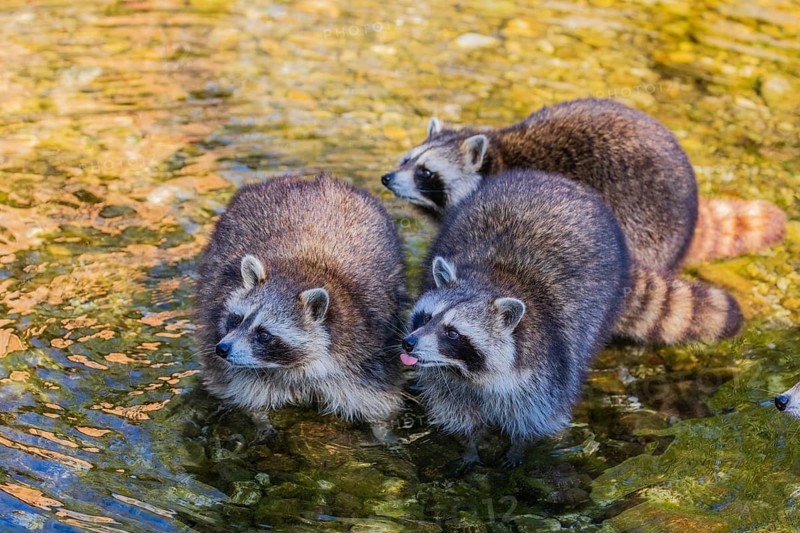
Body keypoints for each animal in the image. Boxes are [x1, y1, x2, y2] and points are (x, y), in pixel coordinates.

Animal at [196, 174, 407, 442]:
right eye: (237, 319)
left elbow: (379, 400)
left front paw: (383, 432)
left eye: (264, 334)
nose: (222, 349)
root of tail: (306, 180)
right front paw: (259, 419)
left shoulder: (368, 348)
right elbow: (240, 389)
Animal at [400, 170, 631, 466]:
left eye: (452, 332)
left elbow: (536, 415)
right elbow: (455, 409)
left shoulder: (547, 369)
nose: (409, 343)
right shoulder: (445, 382)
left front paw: (519, 446)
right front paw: (470, 444)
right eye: (426, 317)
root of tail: (555, 179)